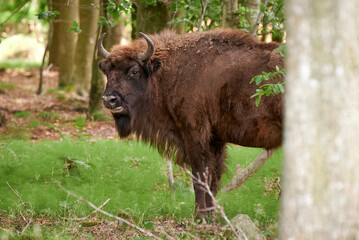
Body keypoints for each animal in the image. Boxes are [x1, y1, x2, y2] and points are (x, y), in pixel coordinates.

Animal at [97, 28, 284, 218]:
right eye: (107, 71)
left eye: (134, 71)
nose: (109, 99)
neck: (169, 71)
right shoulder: (216, 139)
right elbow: (213, 176)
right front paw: (211, 216)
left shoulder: (193, 133)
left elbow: (199, 175)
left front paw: (199, 216)